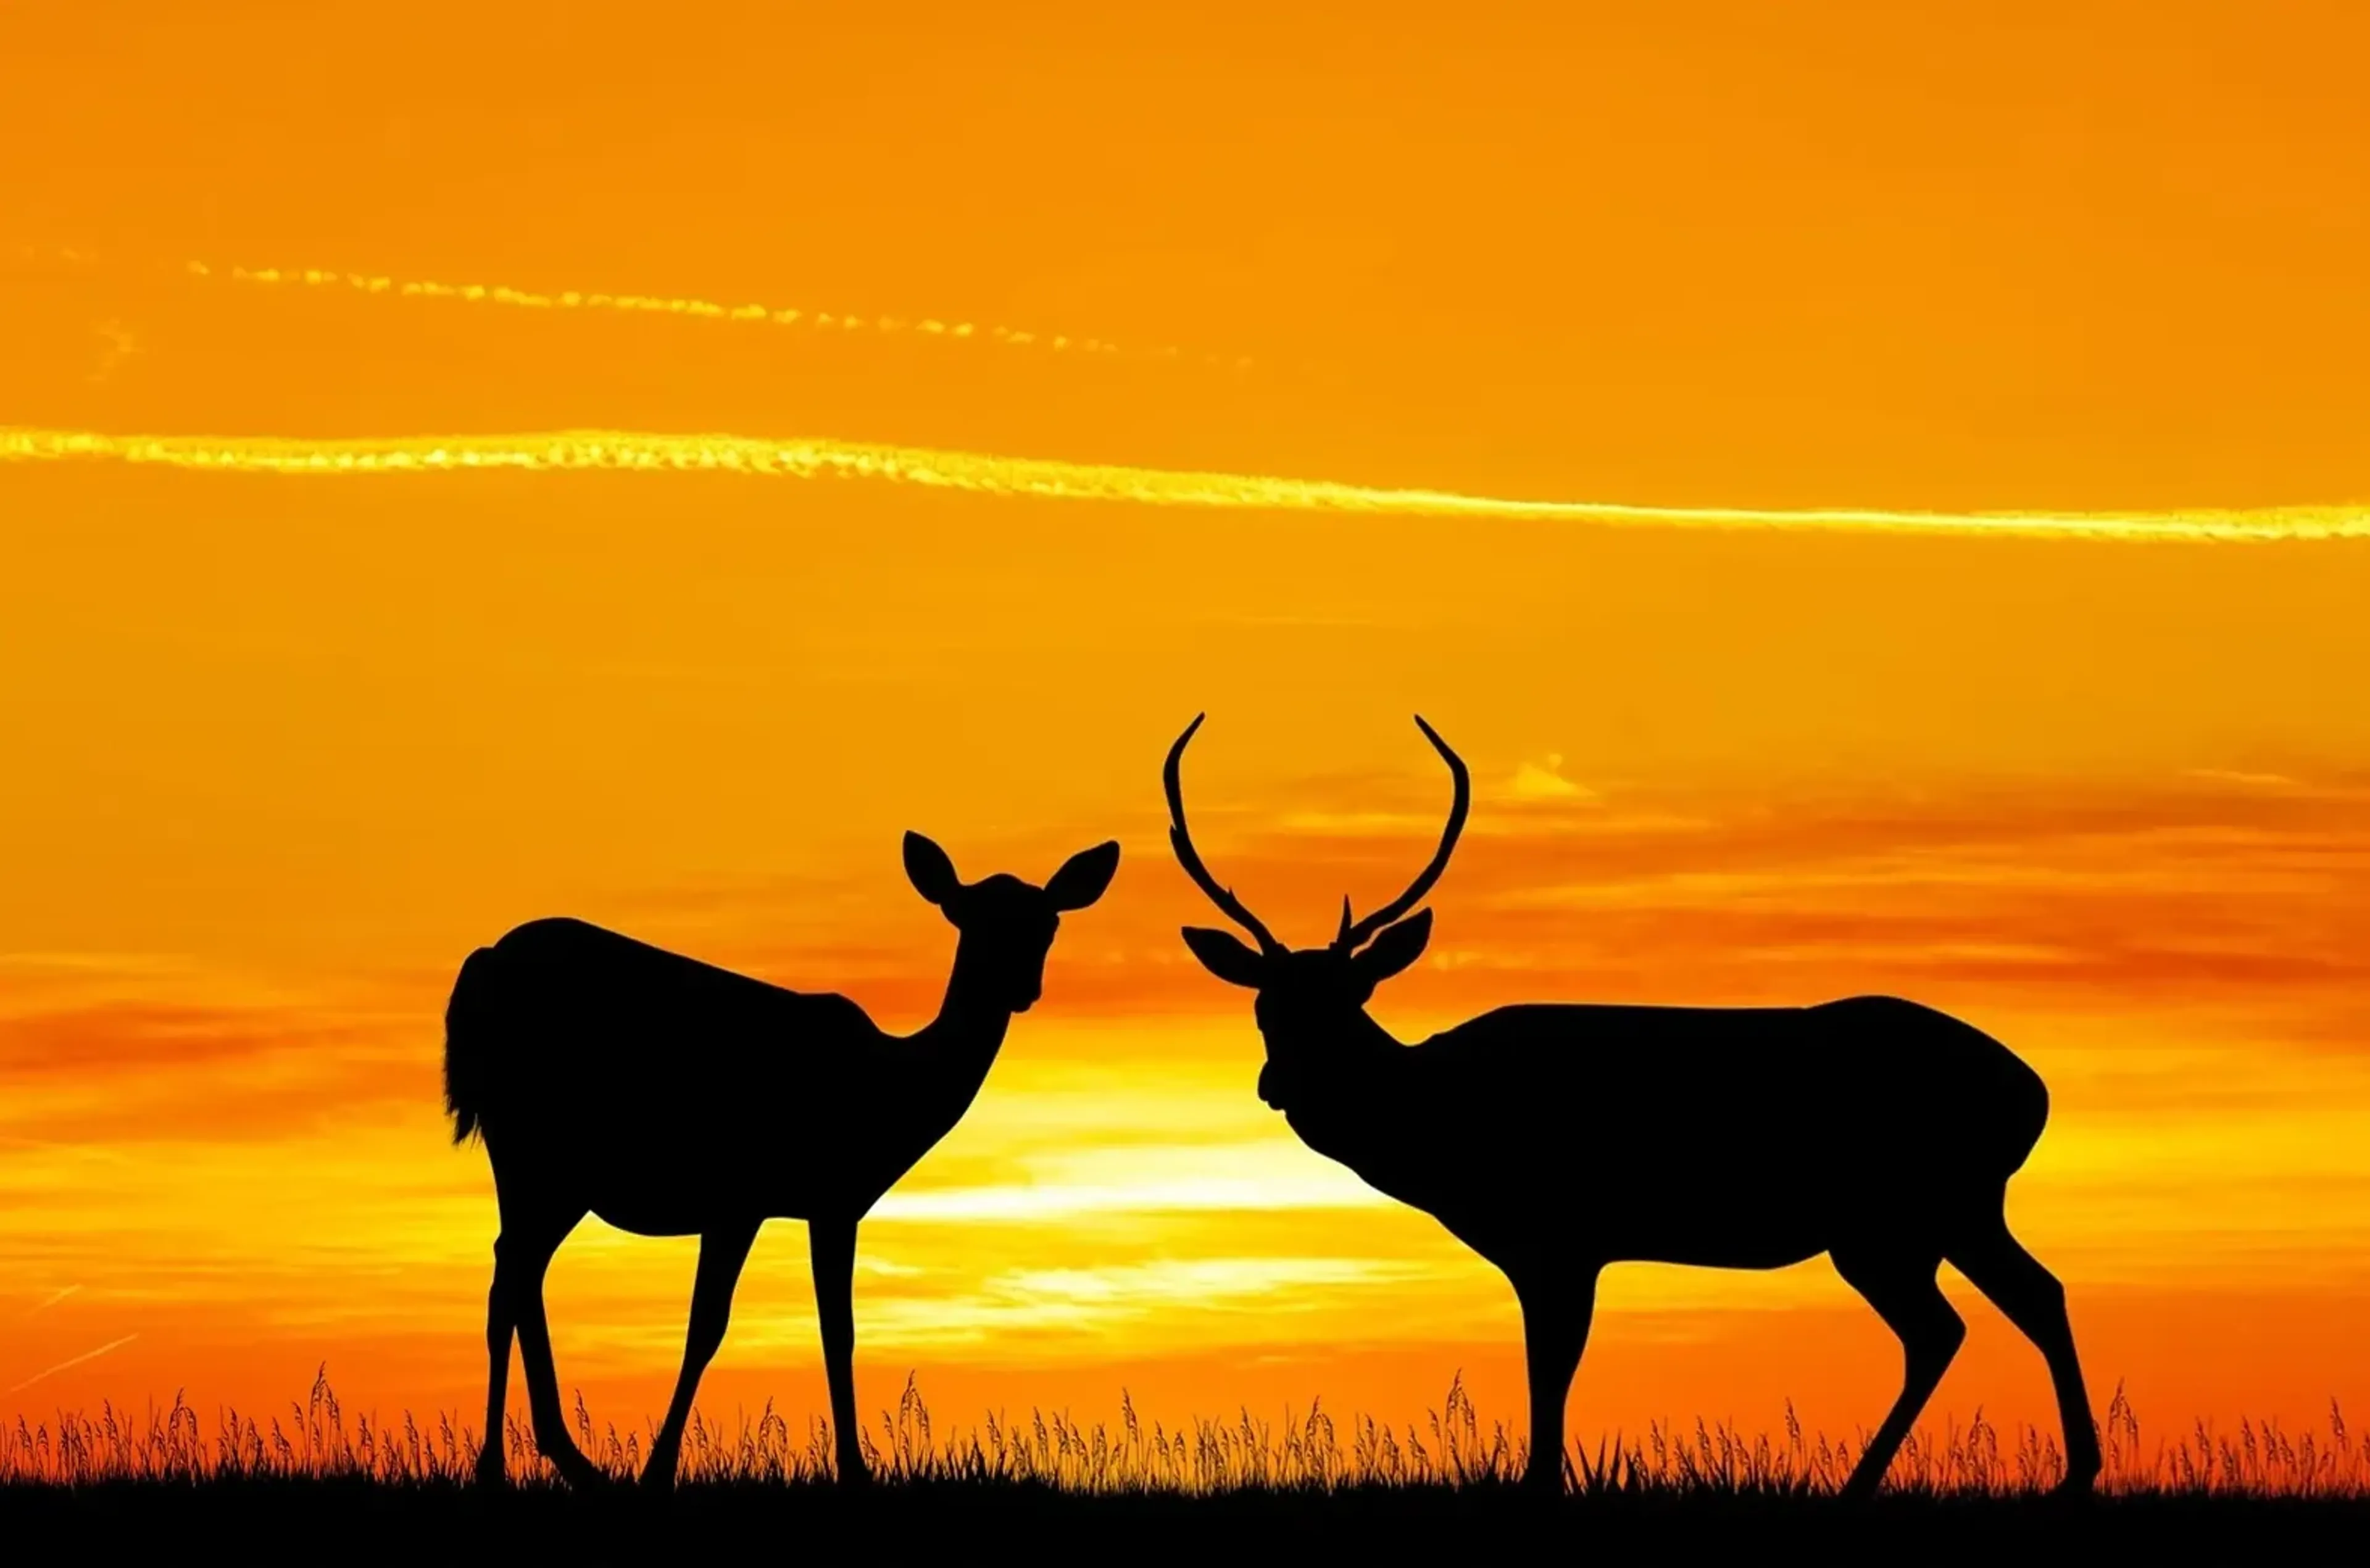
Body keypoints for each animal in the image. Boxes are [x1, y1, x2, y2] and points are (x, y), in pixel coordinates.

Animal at [443, 830, 1119, 1490]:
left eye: (1047, 923)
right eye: (968, 918)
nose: (1023, 987)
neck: (892, 1099)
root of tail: (482, 966)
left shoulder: (818, 1202)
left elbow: (833, 1330)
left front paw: (850, 1469)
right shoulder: (762, 1197)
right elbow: (723, 1327)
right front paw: (663, 1471)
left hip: (539, 1164)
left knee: (513, 1271)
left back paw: (532, 1463)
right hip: (539, 1148)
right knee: (516, 1272)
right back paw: (537, 1464)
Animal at [1161, 714, 2101, 1500]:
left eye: (1347, 1000)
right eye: (1264, 1006)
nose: (1279, 1083)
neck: (1442, 1128)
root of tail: (2034, 1092)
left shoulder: (1564, 1235)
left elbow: (1552, 1366)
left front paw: (1543, 1485)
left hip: (1898, 1217)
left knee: (1951, 1324)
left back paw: (1899, 1483)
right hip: (1942, 1215)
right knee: (2019, 1299)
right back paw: (2058, 1473)